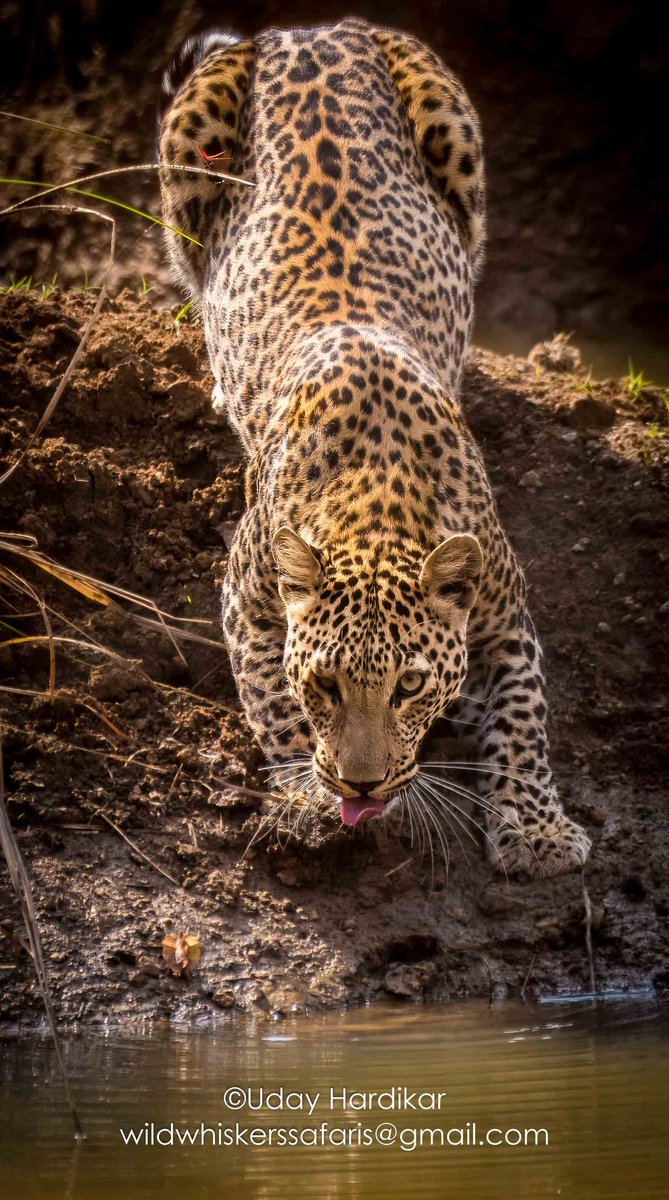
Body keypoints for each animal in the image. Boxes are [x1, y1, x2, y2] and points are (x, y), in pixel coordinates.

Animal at [158, 14, 592, 878]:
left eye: (411, 686)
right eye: (326, 684)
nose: (360, 787)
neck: (378, 499)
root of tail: (308, 29)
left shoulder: (504, 615)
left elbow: (525, 718)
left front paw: (536, 829)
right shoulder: (244, 598)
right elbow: (269, 698)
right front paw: (304, 797)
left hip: (455, 141)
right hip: (188, 147)